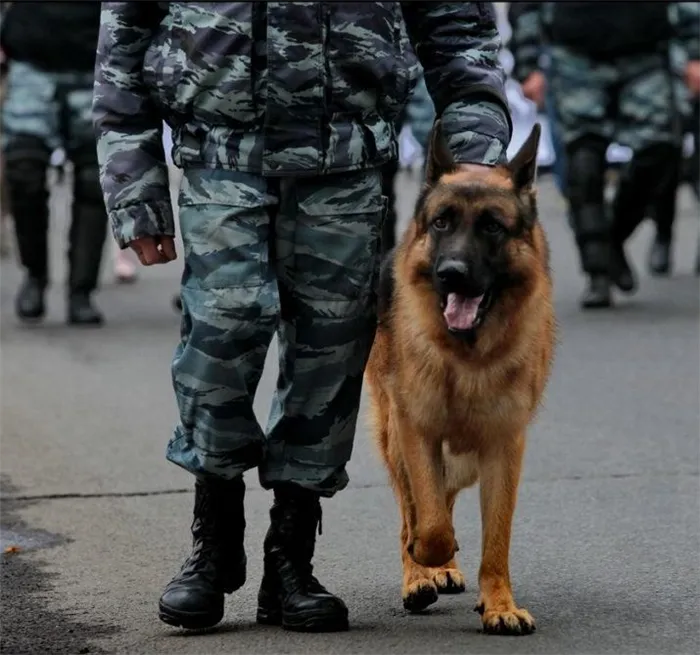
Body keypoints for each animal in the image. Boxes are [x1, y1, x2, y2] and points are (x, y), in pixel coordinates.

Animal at [366, 123, 556, 636]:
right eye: (441, 223)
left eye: (492, 226)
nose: (451, 273)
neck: (466, 357)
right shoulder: (417, 431)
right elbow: (428, 523)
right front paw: (425, 559)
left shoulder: (503, 447)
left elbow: (496, 537)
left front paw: (499, 605)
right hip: (395, 438)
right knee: (415, 508)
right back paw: (420, 574)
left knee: (445, 493)